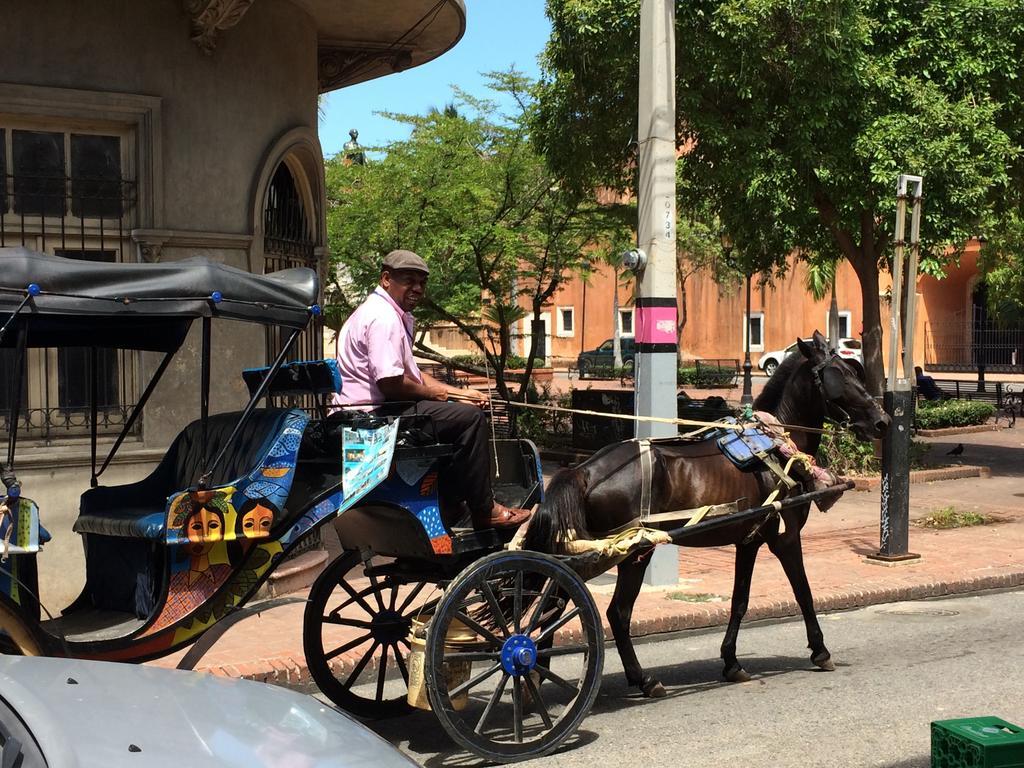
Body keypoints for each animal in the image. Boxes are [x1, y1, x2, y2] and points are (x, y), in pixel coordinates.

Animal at [524, 331, 892, 696]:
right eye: (839, 376)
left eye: (854, 372)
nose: (882, 421)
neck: (775, 446)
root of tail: (584, 471)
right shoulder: (786, 538)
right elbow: (803, 592)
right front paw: (820, 650)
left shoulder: (749, 541)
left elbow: (740, 600)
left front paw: (731, 662)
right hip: (632, 552)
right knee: (614, 612)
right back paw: (639, 679)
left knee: (557, 604)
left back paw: (540, 671)